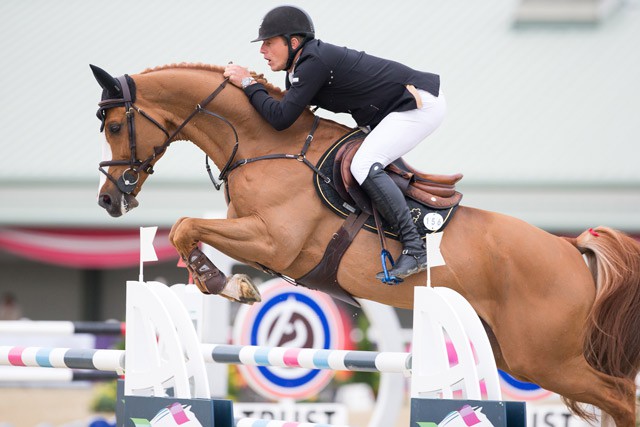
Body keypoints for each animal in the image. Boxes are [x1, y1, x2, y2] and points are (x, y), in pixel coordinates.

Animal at [91, 63, 640, 427]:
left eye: (116, 126)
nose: (108, 201)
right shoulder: (256, 237)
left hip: (547, 359)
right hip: (517, 353)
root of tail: (571, 251)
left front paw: (224, 282)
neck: (263, 145)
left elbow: (185, 226)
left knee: (621, 396)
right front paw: (228, 283)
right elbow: (189, 231)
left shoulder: (275, 240)